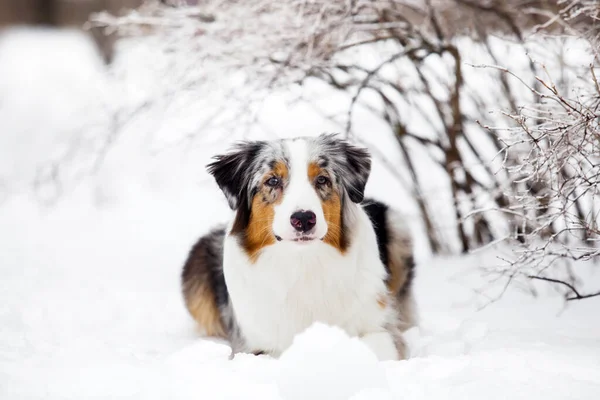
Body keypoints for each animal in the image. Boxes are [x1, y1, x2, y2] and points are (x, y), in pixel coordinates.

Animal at [182, 133, 418, 360]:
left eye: (322, 179)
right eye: (273, 180)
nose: (303, 219)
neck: (302, 263)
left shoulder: (381, 327)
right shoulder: (252, 345)